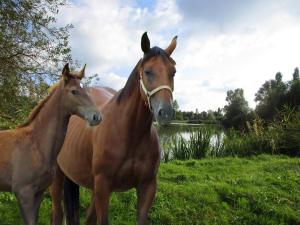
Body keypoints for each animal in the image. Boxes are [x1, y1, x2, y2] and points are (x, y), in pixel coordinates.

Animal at [0, 63, 101, 225]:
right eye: (74, 91)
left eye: (85, 90)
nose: (97, 116)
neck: (36, 144)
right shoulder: (24, 194)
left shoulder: (38, 194)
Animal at [48, 32, 176, 225]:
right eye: (147, 71)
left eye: (173, 72)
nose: (166, 112)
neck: (130, 134)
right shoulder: (103, 186)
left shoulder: (147, 187)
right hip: (58, 177)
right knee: (57, 212)